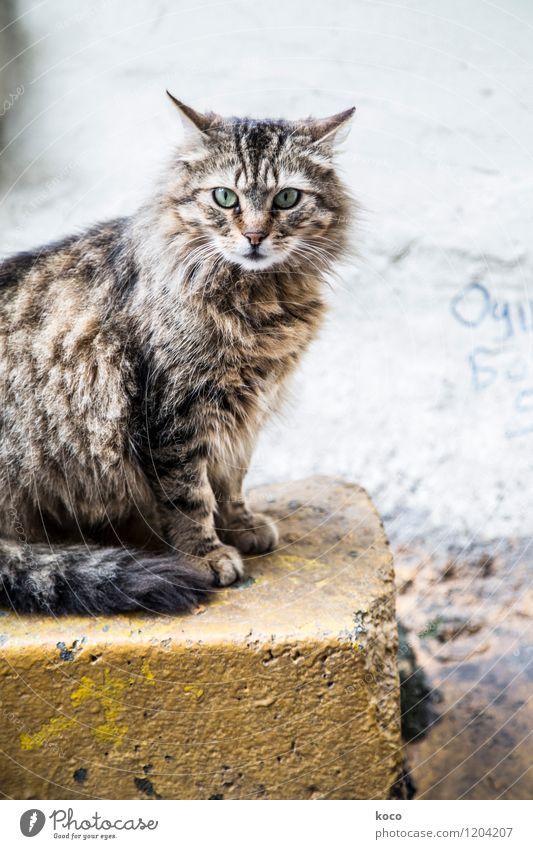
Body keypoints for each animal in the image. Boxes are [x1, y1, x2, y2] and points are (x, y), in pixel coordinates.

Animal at [1, 93, 358, 612]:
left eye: (286, 198)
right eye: (224, 197)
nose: (254, 237)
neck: (257, 299)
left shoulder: (241, 416)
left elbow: (230, 481)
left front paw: (241, 526)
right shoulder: (174, 412)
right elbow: (190, 496)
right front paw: (206, 554)